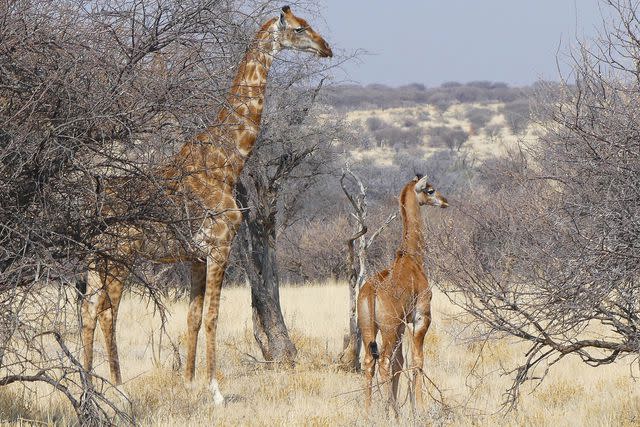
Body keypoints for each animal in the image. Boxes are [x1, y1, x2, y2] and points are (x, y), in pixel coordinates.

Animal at [82, 7, 332, 408]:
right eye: (298, 29)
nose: (326, 48)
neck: (226, 164)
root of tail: (94, 205)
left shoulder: (196, 257)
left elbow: (194, 317)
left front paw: (188, 384)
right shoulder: (220, 246)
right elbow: (214, 316)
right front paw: (215, 391)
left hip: (96, 260)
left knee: (88, 311)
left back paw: (88, 389)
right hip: (118, 258)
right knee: (106, 313)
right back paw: (117, 390)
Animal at [358, 174, 448, 414]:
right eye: (430, 190)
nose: (445, 201)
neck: (412, 257)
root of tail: (372, 292)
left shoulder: (400, 325)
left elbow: (400, 364)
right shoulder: (420, 317)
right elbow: (417, 360)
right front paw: (420, 407)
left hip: (369, 328)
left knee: (369, 362)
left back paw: (370, 412)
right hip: (387, 329)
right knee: (384, 361)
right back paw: (390, 412)